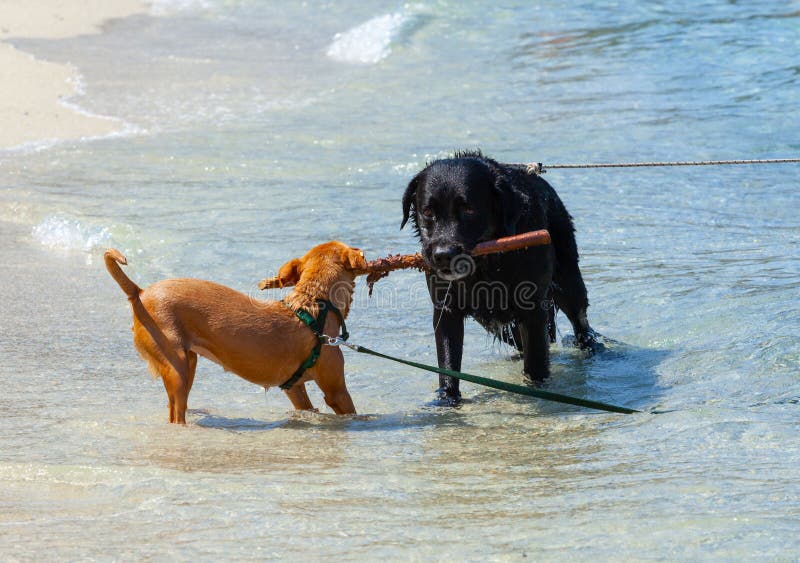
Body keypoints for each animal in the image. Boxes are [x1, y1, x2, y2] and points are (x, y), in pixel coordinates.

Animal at [104, 241, 368, 424]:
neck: (313, 306)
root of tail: (140, 292)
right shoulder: (336, 391)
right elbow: (351, 410)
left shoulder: (294, 388)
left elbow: (305, 406)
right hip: (176, 368)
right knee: (176, 415)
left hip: (188, 362)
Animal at [404, 150, 596, 406]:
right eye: (427, 212)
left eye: (468, 210)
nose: (443, 255)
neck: (487, 265)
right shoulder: (446, 310)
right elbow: (448, 363)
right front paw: (447, 398)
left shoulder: (533, 309)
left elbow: (536, 361)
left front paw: (537, 390)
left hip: (568, 279)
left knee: (580, 320)